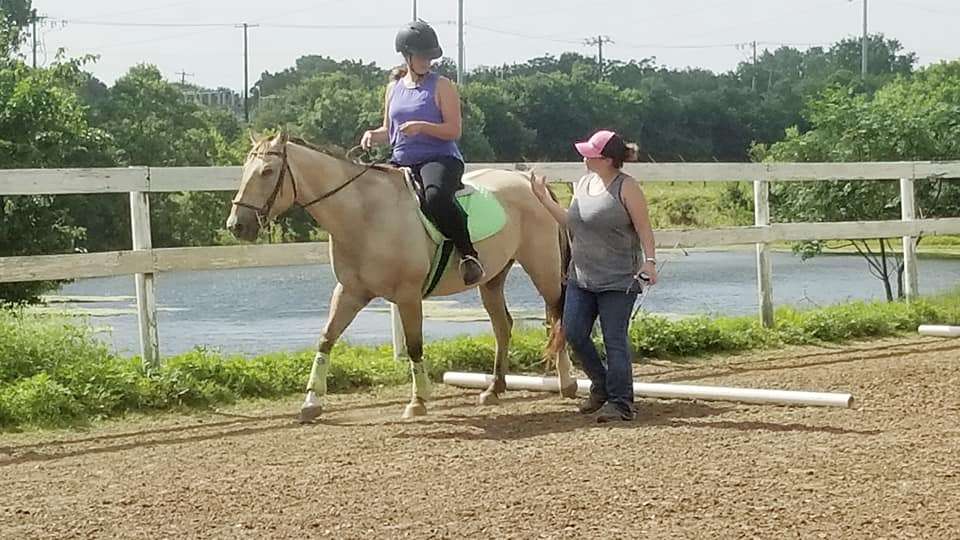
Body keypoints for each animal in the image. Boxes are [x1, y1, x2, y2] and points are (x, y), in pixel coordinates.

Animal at [229, 132, 572, 422]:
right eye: (245, 170)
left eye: (267, 172)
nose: (237, 225)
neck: (364, 215)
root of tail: (526, 180)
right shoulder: (350, 291)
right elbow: (326, 338)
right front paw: (311, 402)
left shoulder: (407, 295)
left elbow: (415, 345)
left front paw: (418, 401)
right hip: (492, 278)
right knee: (503, 326)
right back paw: (493, 389)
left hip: (542, 267)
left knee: (557, 315)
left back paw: (567, 383)